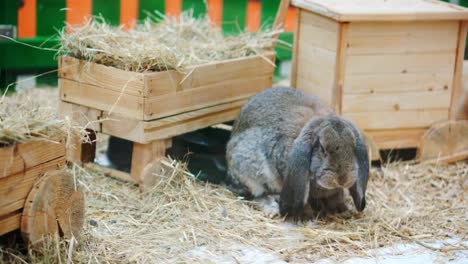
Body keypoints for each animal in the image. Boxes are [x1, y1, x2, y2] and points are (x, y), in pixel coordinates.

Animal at [227, 86, 370, 217]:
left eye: (353, 146)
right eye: (321, 147)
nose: (343, 179)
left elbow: (336, 196)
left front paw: (342, 210)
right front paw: (308, 214)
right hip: (251, 174)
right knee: (256, 195)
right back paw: (272, 208)